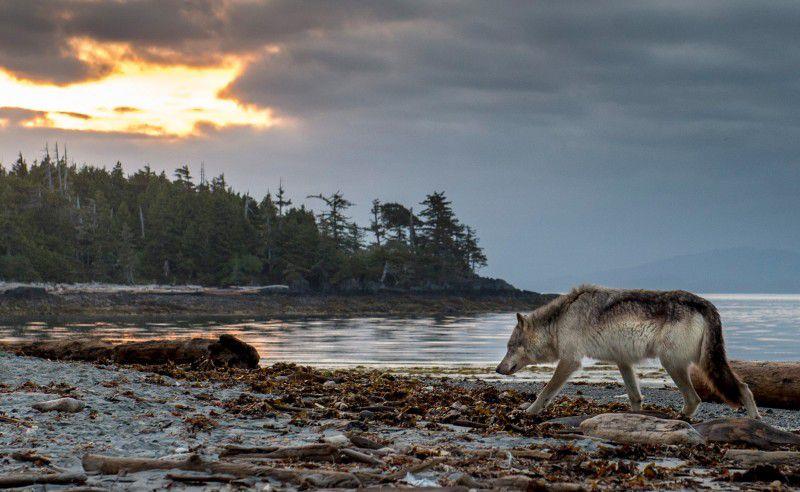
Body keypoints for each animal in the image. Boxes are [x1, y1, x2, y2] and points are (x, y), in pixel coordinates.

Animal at [496, 284, 760, 418]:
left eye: (510, 347)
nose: (498, 369)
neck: (560, 318)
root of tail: (707, 304)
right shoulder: (623, 361)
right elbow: (635, 397)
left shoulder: (570, 362)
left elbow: (545, 392)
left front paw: (529, 411)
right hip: (702, 362)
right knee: (744, 387)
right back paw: (755, 422)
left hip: (673, 363)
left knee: (695, 399)